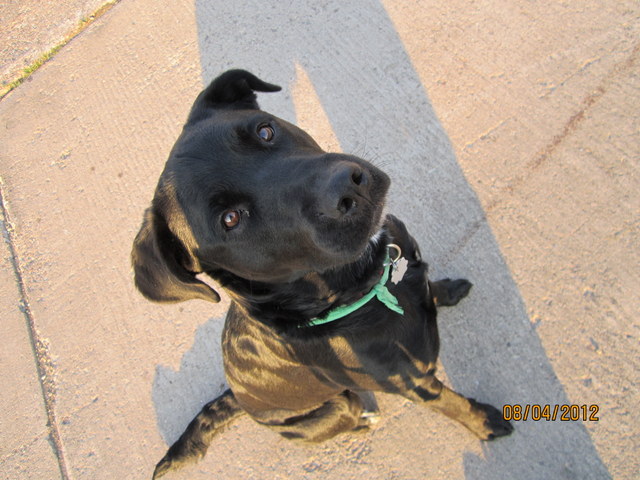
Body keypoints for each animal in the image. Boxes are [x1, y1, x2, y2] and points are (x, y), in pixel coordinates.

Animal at [132, 69, 512, 478]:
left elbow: (430, 286)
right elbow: (451, 403)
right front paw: (483, 421)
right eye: (230, 219)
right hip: (333, 409)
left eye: (265, 130)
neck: (361, 288)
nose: (347, 187)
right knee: (350, 412)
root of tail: (235, 395)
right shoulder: (415, 384)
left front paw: (446, 290)